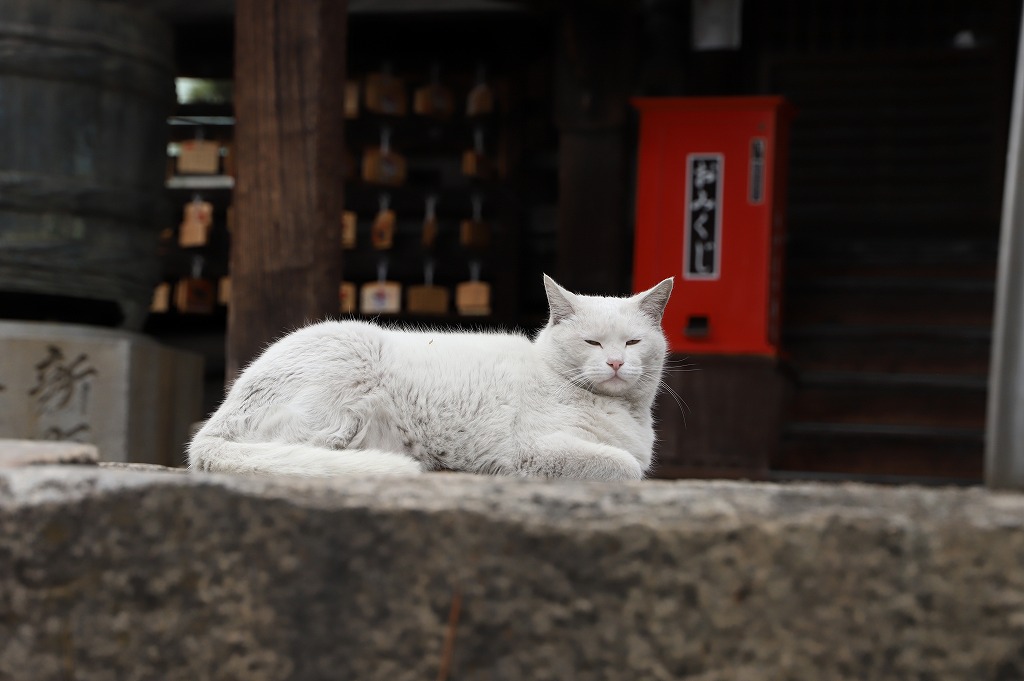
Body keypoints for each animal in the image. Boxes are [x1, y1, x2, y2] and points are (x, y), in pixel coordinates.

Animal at [189, 274, 675, 481]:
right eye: (592, 343)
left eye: (632, 343)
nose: (616, 363)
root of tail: (213, 425)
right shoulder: (532, 450)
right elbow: (627, 466)